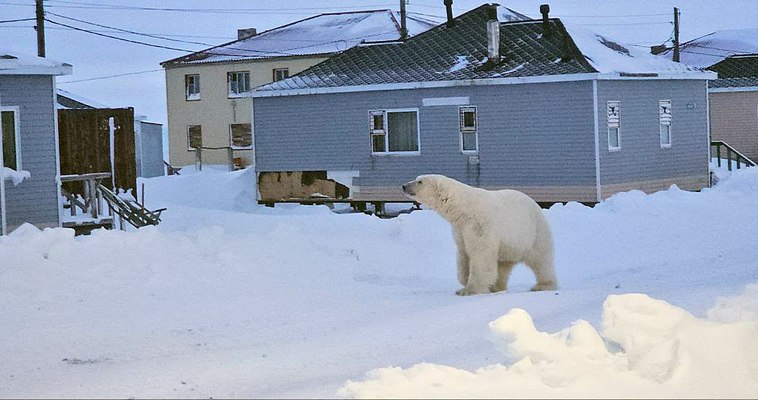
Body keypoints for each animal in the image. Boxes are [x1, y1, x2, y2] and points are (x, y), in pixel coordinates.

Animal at [402, 174, 557, 296]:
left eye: (420, 181)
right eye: (416, 178)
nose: (404, 186)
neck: (463, 209)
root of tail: (535, 205)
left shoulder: (480, 225)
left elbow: (480, 254)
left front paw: (471, 289)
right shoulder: (461, 229)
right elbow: (463, 254)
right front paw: (463, 283)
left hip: (534, 232)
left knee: (541, 260)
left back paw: (543, 285)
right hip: (510, 245)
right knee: (503, 264)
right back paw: (496, 286)